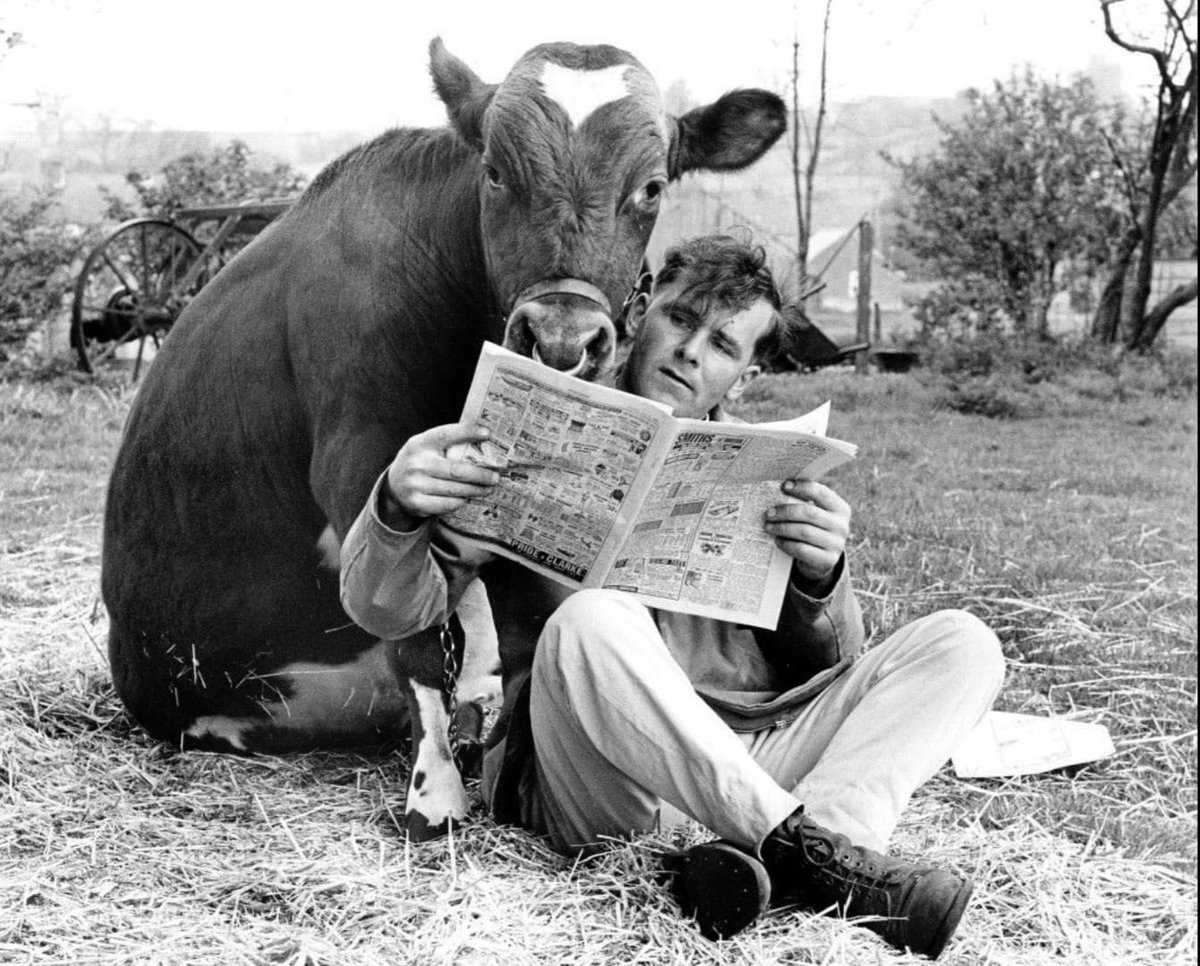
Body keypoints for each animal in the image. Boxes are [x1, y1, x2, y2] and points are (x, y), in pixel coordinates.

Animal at [98, 37, 782, 835]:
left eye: (651, 187)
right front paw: (439, 793)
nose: (560, 340)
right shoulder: (360, 455)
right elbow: (419, 645)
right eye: (495, 172)